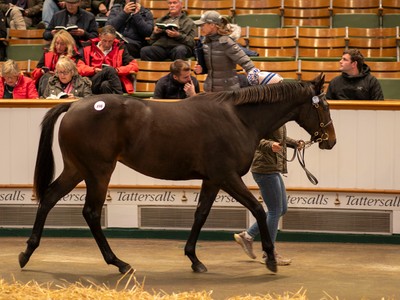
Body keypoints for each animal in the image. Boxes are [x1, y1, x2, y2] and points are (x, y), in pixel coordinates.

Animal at [20, 72, 336, 274]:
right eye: (324, 106)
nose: (330, 140)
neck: (238, 118)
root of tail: (74, 103)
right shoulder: (227, 177)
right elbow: (258, 209)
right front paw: (270, 258)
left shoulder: (212, 180)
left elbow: (200, 214)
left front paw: (194, 259)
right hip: (99, 172)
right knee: (91, 213)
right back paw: (119, 263)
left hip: (77, 169)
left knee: (49, 198)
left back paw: (27, 253)